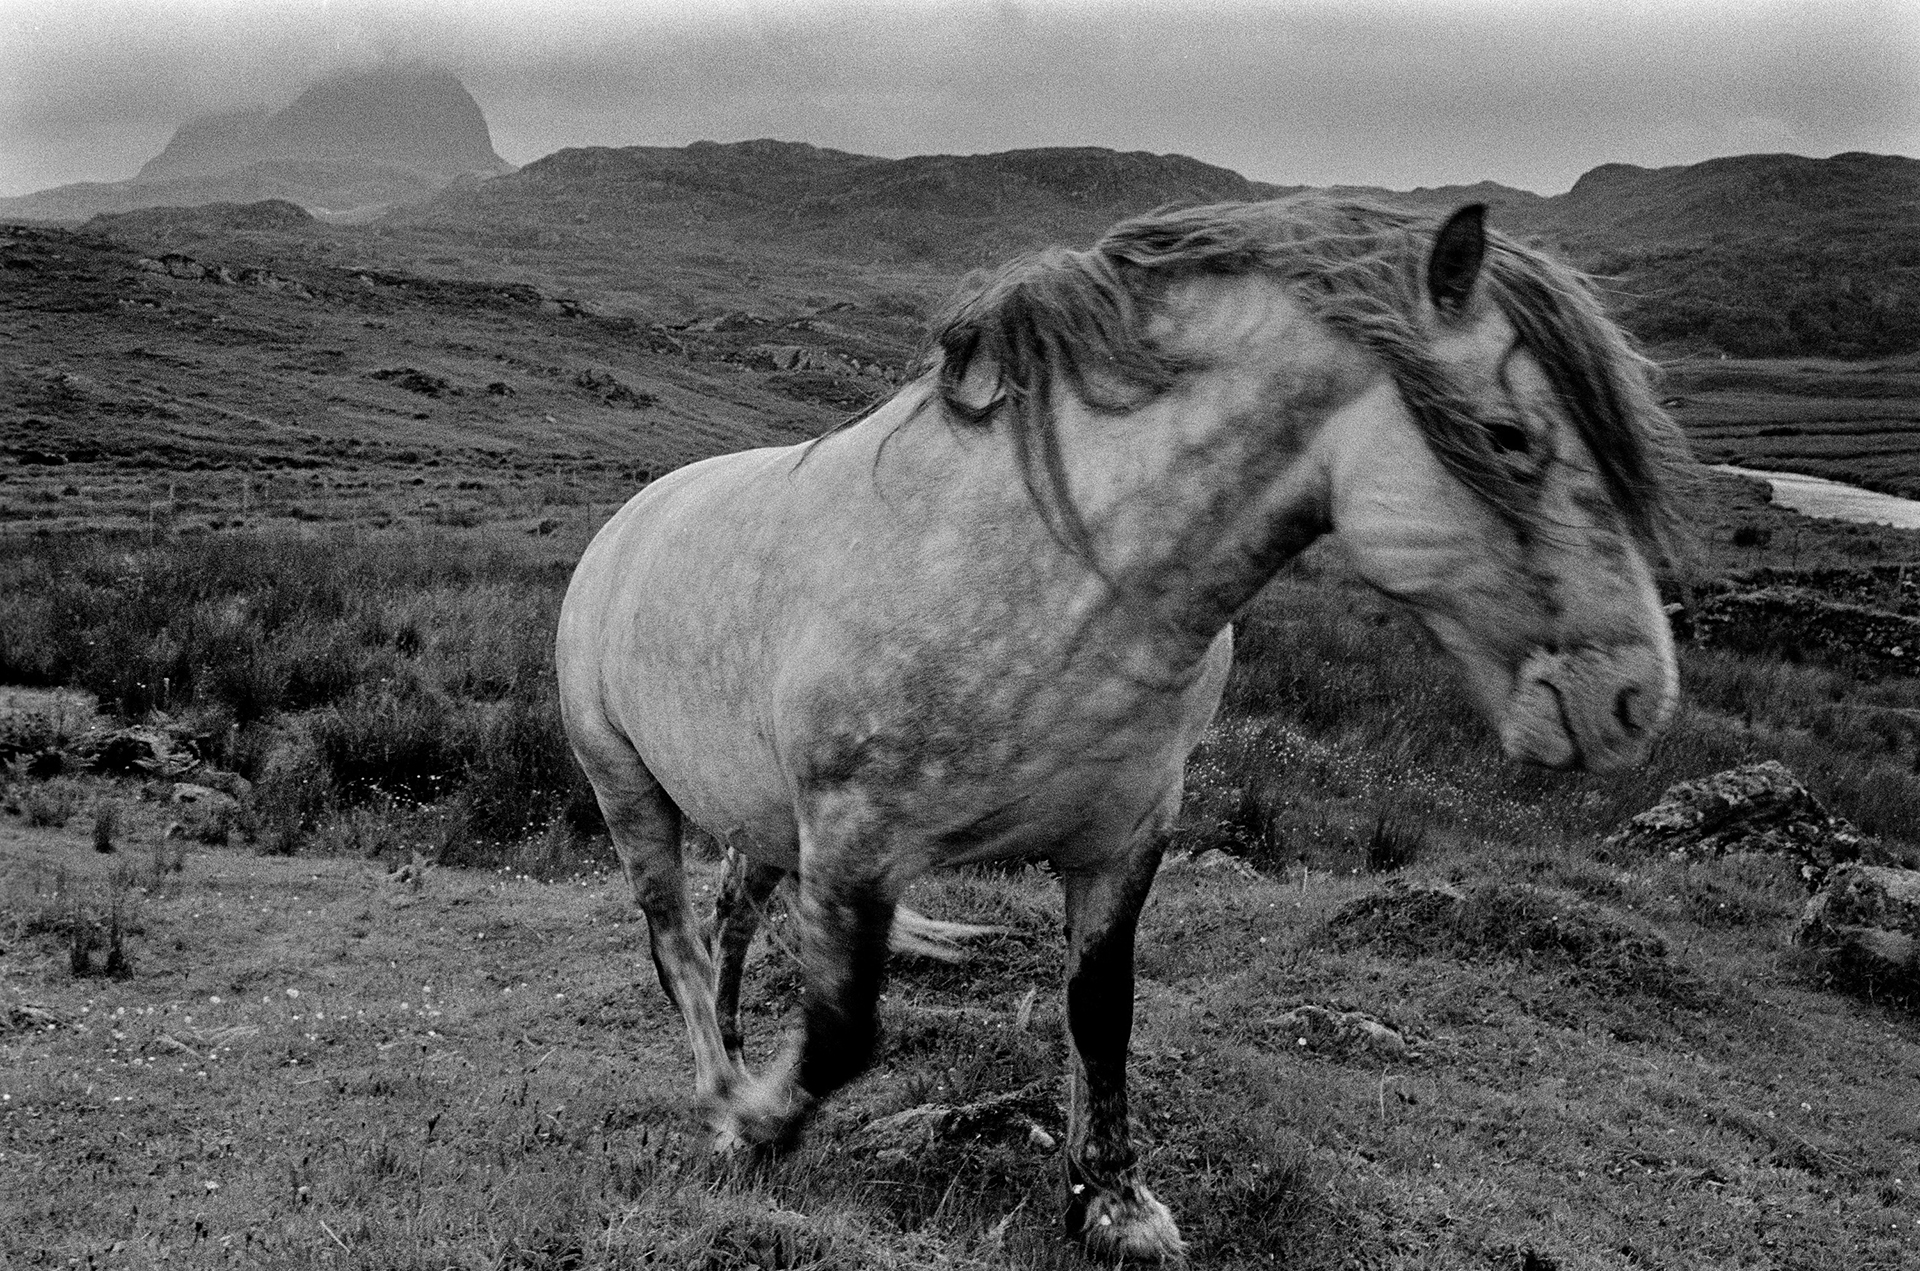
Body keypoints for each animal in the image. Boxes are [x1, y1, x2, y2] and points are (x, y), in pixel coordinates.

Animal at [552, 201, 1681, 1267]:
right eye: (1509, 435)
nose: (1635, 698)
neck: (1055, 575)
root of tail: (627, 522)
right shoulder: (854, 841)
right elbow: (841, 1031)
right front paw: (754, 1124)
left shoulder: (1121, 839)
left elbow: (1101, 1009)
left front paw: (1113, 1201)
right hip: (630, 789)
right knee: (676, 936)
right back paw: (721, 1081)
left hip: (761, 817)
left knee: (732, 916)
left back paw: (740, 1043)